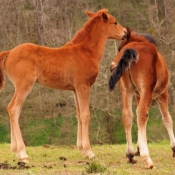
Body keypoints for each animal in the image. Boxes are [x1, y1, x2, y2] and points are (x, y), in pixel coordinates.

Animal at [0, 9, 126, 163]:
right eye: (115, 22)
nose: (125, 32)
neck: (86, 52)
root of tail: (10, 52)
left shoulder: (75, 89)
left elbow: (79, 114)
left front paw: (82, 150)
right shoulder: (83, 86)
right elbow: (85, 114)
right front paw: (90, 152)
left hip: (19, 87)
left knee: (13, 109)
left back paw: (16, 151)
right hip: (24, 85)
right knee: (13, 108)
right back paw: (23, 153)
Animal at [109, 28, 175, 168]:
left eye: (119, 48)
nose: (112, 66)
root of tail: (132, 51)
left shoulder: (138, 94)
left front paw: (138, 149)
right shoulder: (162, 94)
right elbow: (167, 118)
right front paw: (174, 148)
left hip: (127, 91)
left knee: (128, 116)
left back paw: (130, 155)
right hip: (147, 91)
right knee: (141, 113)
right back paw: (147, 159)